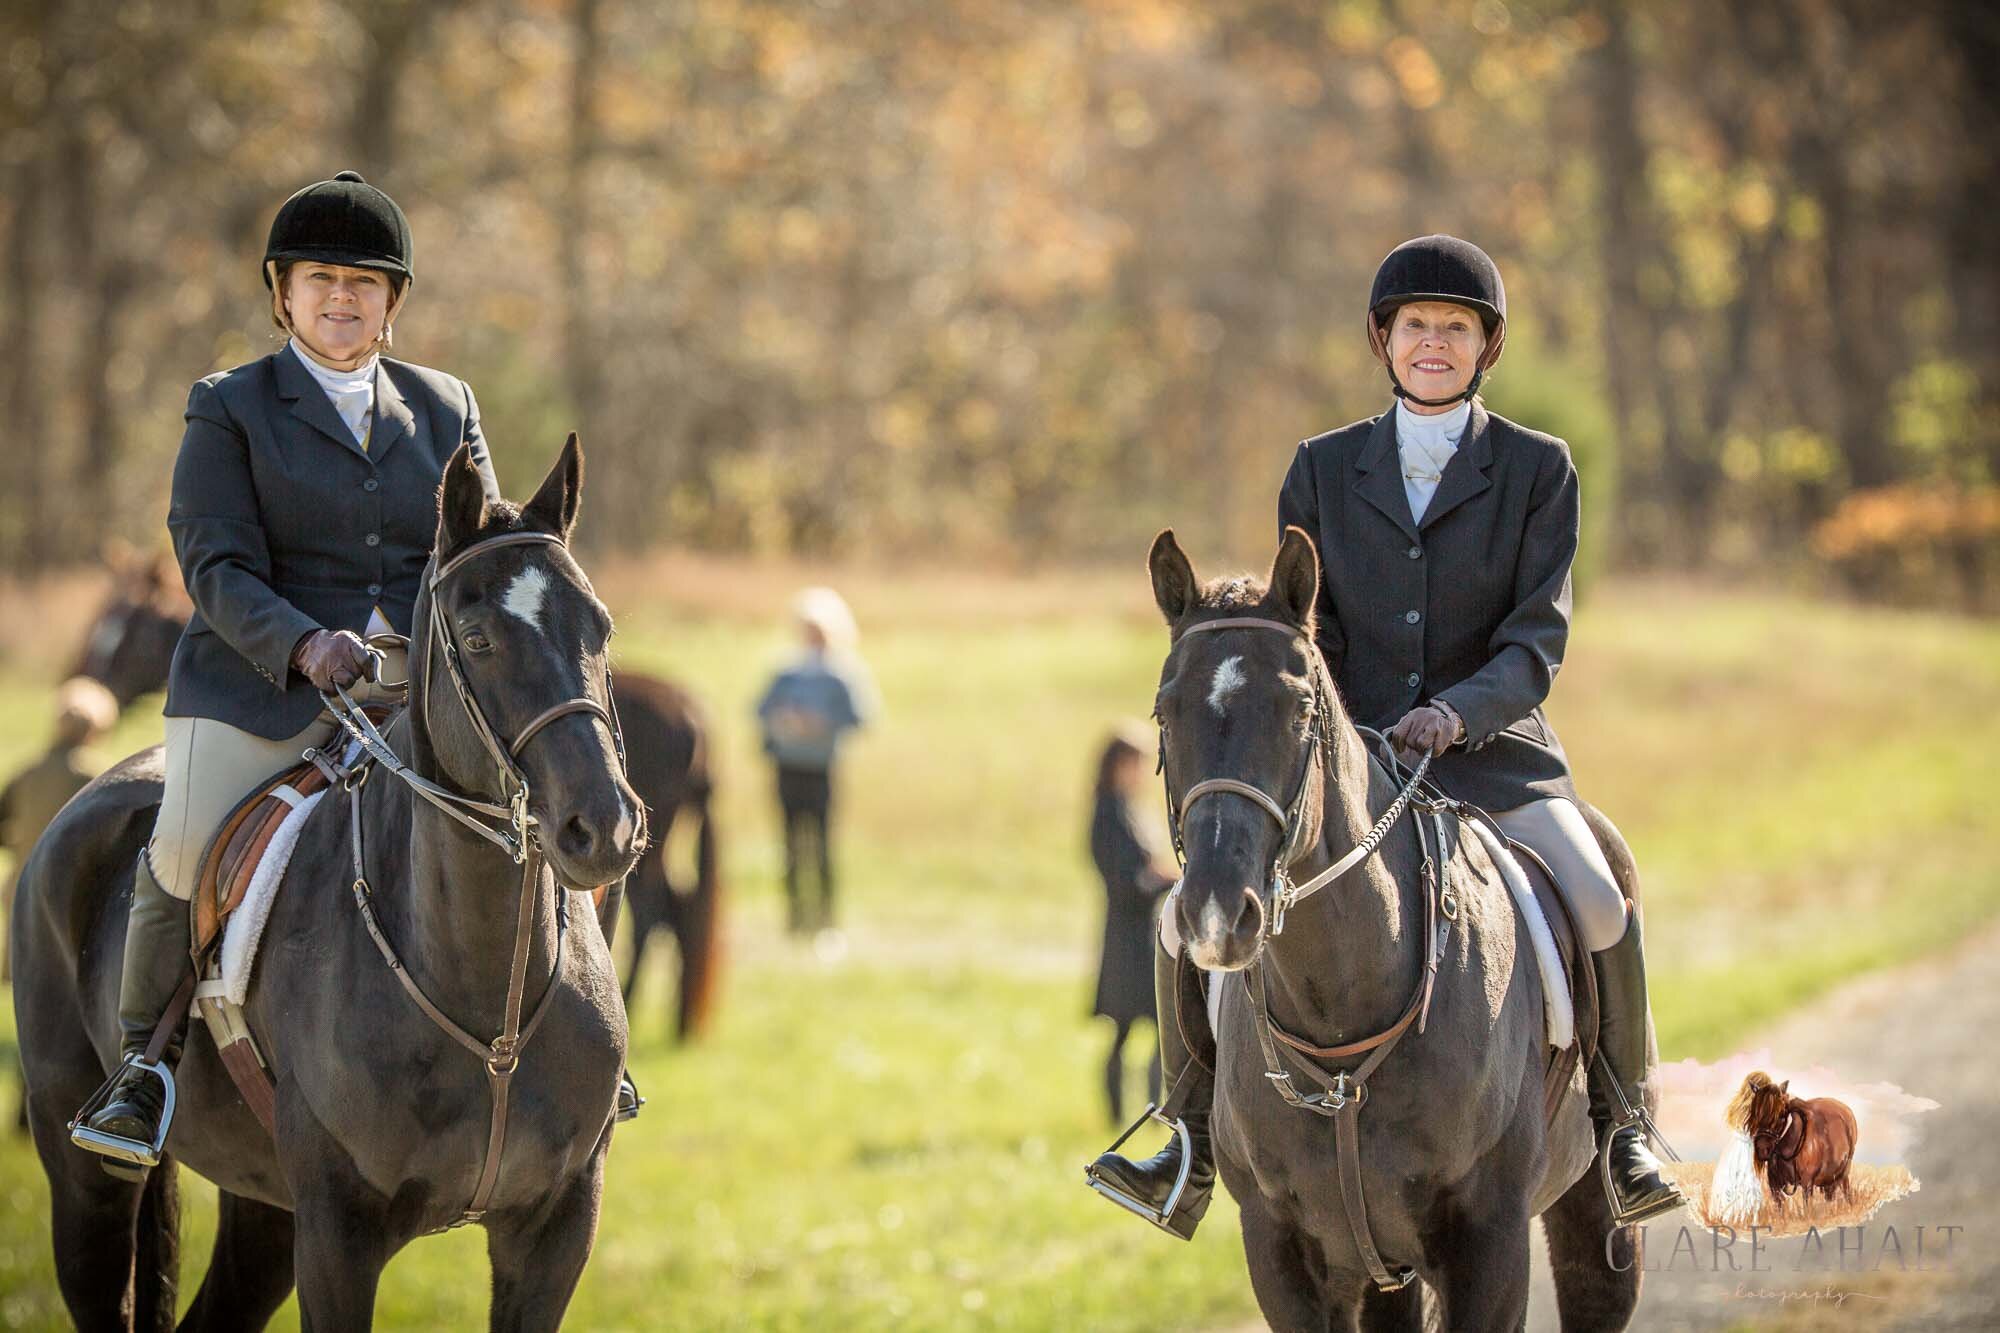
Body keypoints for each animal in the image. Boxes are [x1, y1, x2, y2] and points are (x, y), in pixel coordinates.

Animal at [11, 438, 644, 1328]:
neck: (489, 995)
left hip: (263, 1202)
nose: (606, 825)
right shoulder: (337, 1233)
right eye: (478, 637)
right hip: (87, 1182)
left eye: (601, 627)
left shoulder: (555, 1231)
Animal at [1144, 528, 1640, 1328]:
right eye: (1165, 713)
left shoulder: (1492, 1244)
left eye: (1299, 710)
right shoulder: (1280, 1249)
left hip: (1592, 1215)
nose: (1216, 911)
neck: (1341, 1019)